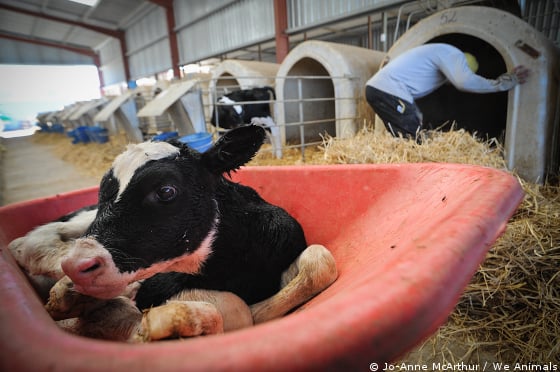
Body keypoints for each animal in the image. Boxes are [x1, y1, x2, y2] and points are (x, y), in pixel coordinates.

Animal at [9, 124, 336, 340]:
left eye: (166, 191)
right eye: (103, 191)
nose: (78, 265)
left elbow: (320, 261)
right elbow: (233, 309)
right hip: (79, 222)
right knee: (27, 243)